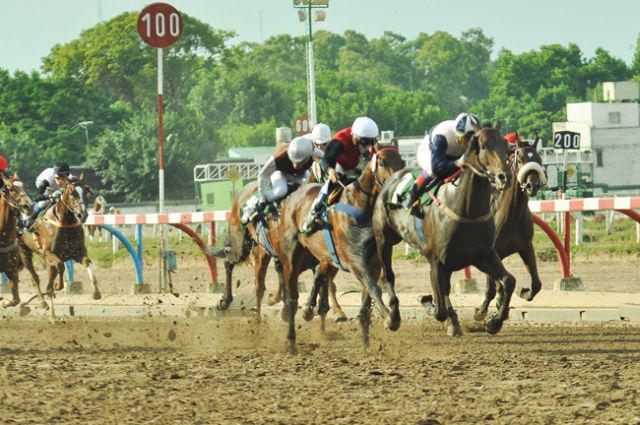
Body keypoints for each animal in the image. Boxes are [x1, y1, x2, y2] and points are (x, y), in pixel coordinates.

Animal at [30, 176, 100, 322]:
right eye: (72, 193)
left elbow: (87, 262)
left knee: (47, 285)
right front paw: (59, 285)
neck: (65, 221)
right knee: (39, 280)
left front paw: (96, 293)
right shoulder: (48, 252)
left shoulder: (78, 252)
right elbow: (60, 266)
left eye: (86, 192)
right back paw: (47, 310)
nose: (82, 215)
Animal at [276, 146, 404, 352]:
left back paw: (308, 310)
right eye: (383, 162)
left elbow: (377, 288)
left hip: (325, 256)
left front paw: (368, 341)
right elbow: (374, 287)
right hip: (292, 258)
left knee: (319, 275)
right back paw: (291, 340)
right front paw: (389, 318)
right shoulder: (354, 260)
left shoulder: (376, 261)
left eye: (402, 162)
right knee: (292, 297)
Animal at [376, 123, 516, 338]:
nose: (504, 176)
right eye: (483, 145)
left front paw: (494, 322)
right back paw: (393, 317)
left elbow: (509, 281)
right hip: (384, 240)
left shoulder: (483, 255)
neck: (466, 209)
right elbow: (439, 309)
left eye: (505, 145)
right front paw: (427, 302)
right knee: (387, 277)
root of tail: (391, 180)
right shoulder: (436, 261)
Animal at [472, 135, 548, 318]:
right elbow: (492, 288)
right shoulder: (491, 253)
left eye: (539, 159)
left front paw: (524, 292)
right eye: (520, 159)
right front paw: (482, 311)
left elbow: (536, 284)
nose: (532, 186)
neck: (512, 216)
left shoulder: (525, 247)